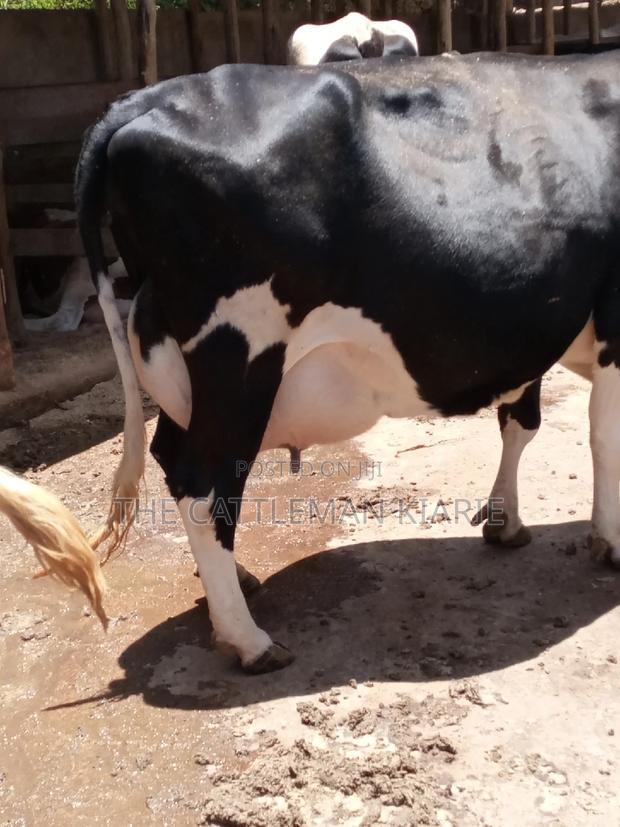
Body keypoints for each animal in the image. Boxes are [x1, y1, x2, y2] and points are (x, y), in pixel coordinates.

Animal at [1, 50, 619, 674]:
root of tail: (142, 100)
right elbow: (602, 434)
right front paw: (609, 542)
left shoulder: (536, 331)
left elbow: (522, 421)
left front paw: (505, 521)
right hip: (239, 357)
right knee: (203, 481)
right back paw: (248, 640)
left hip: (182, 365)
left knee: (171, 458)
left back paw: (234, 585)